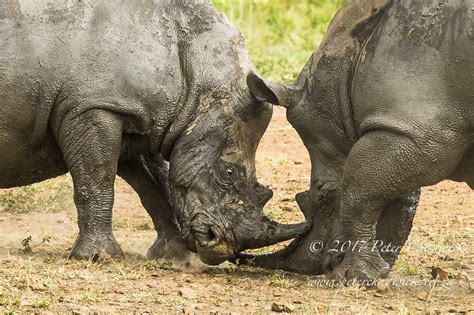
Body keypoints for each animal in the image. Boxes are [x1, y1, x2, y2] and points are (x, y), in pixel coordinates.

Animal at [0, 0, 308, 266]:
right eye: (229, 173)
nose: (222, 247)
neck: (200, 73)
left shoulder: (144, 122)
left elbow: (156, 184)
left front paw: (177, 257)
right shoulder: (92, 107)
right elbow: (97, 182)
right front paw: (98, 257)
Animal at [237, 1, 474, 280]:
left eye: (322, 195)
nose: (315, 266)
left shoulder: (415, 131)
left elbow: (358, 191)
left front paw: (356, 276)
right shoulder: (404, 127)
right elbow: (393, 198)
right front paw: (372, 272)